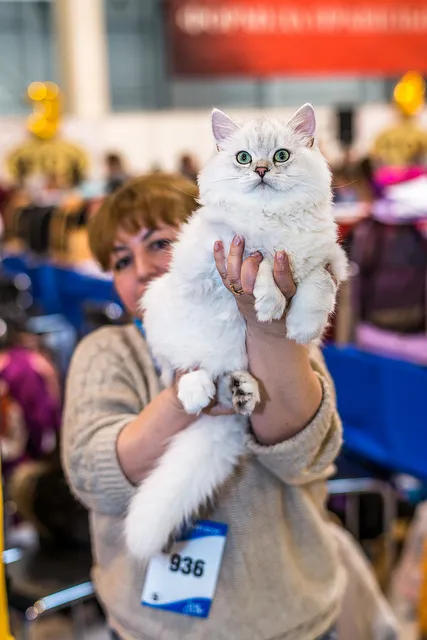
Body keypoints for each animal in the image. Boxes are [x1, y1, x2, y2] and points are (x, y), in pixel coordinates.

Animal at [125, 102, 350, 556]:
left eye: (281, 156)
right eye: (243, 158)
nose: (261, 170)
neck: (272, 219)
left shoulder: (332, 261)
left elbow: (316, 285)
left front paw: (301, 326)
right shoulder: (224, 252)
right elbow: (259, 262)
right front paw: (269, 303)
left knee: (229, 378)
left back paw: (243, 392)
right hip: (160, 307)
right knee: (183, 371)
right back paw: (198, 393)